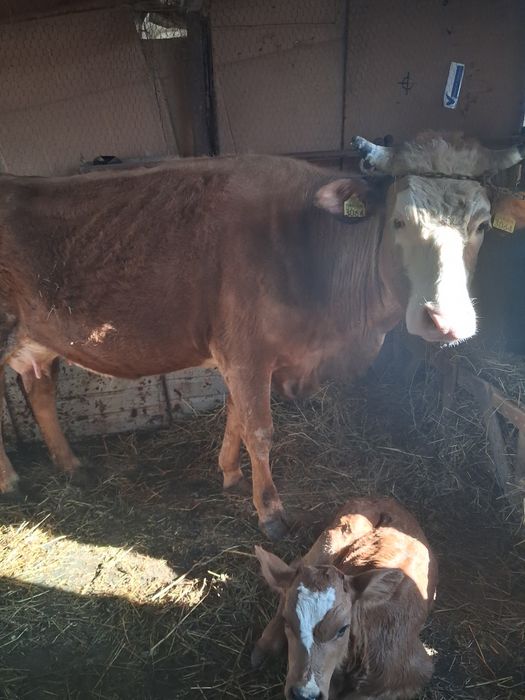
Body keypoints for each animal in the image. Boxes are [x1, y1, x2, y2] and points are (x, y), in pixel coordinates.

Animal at [0, 132, 522, 538]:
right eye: (399, 220)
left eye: (480, 225)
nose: (445, 321)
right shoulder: (247, 353)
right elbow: (259, 429)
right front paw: (270, 511)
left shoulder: (240, 357)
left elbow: (234, 416)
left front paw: (229, 472)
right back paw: (11, 482)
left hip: (37, 337)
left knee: (40, 391)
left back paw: (71, 466)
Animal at [252, 496, 438, 700]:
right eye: (288, 621)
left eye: (343, 629)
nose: (304, 694)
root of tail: (383, 499)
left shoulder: (415, 673)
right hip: (331, 540)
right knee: (297, 564)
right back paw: (263, 649)